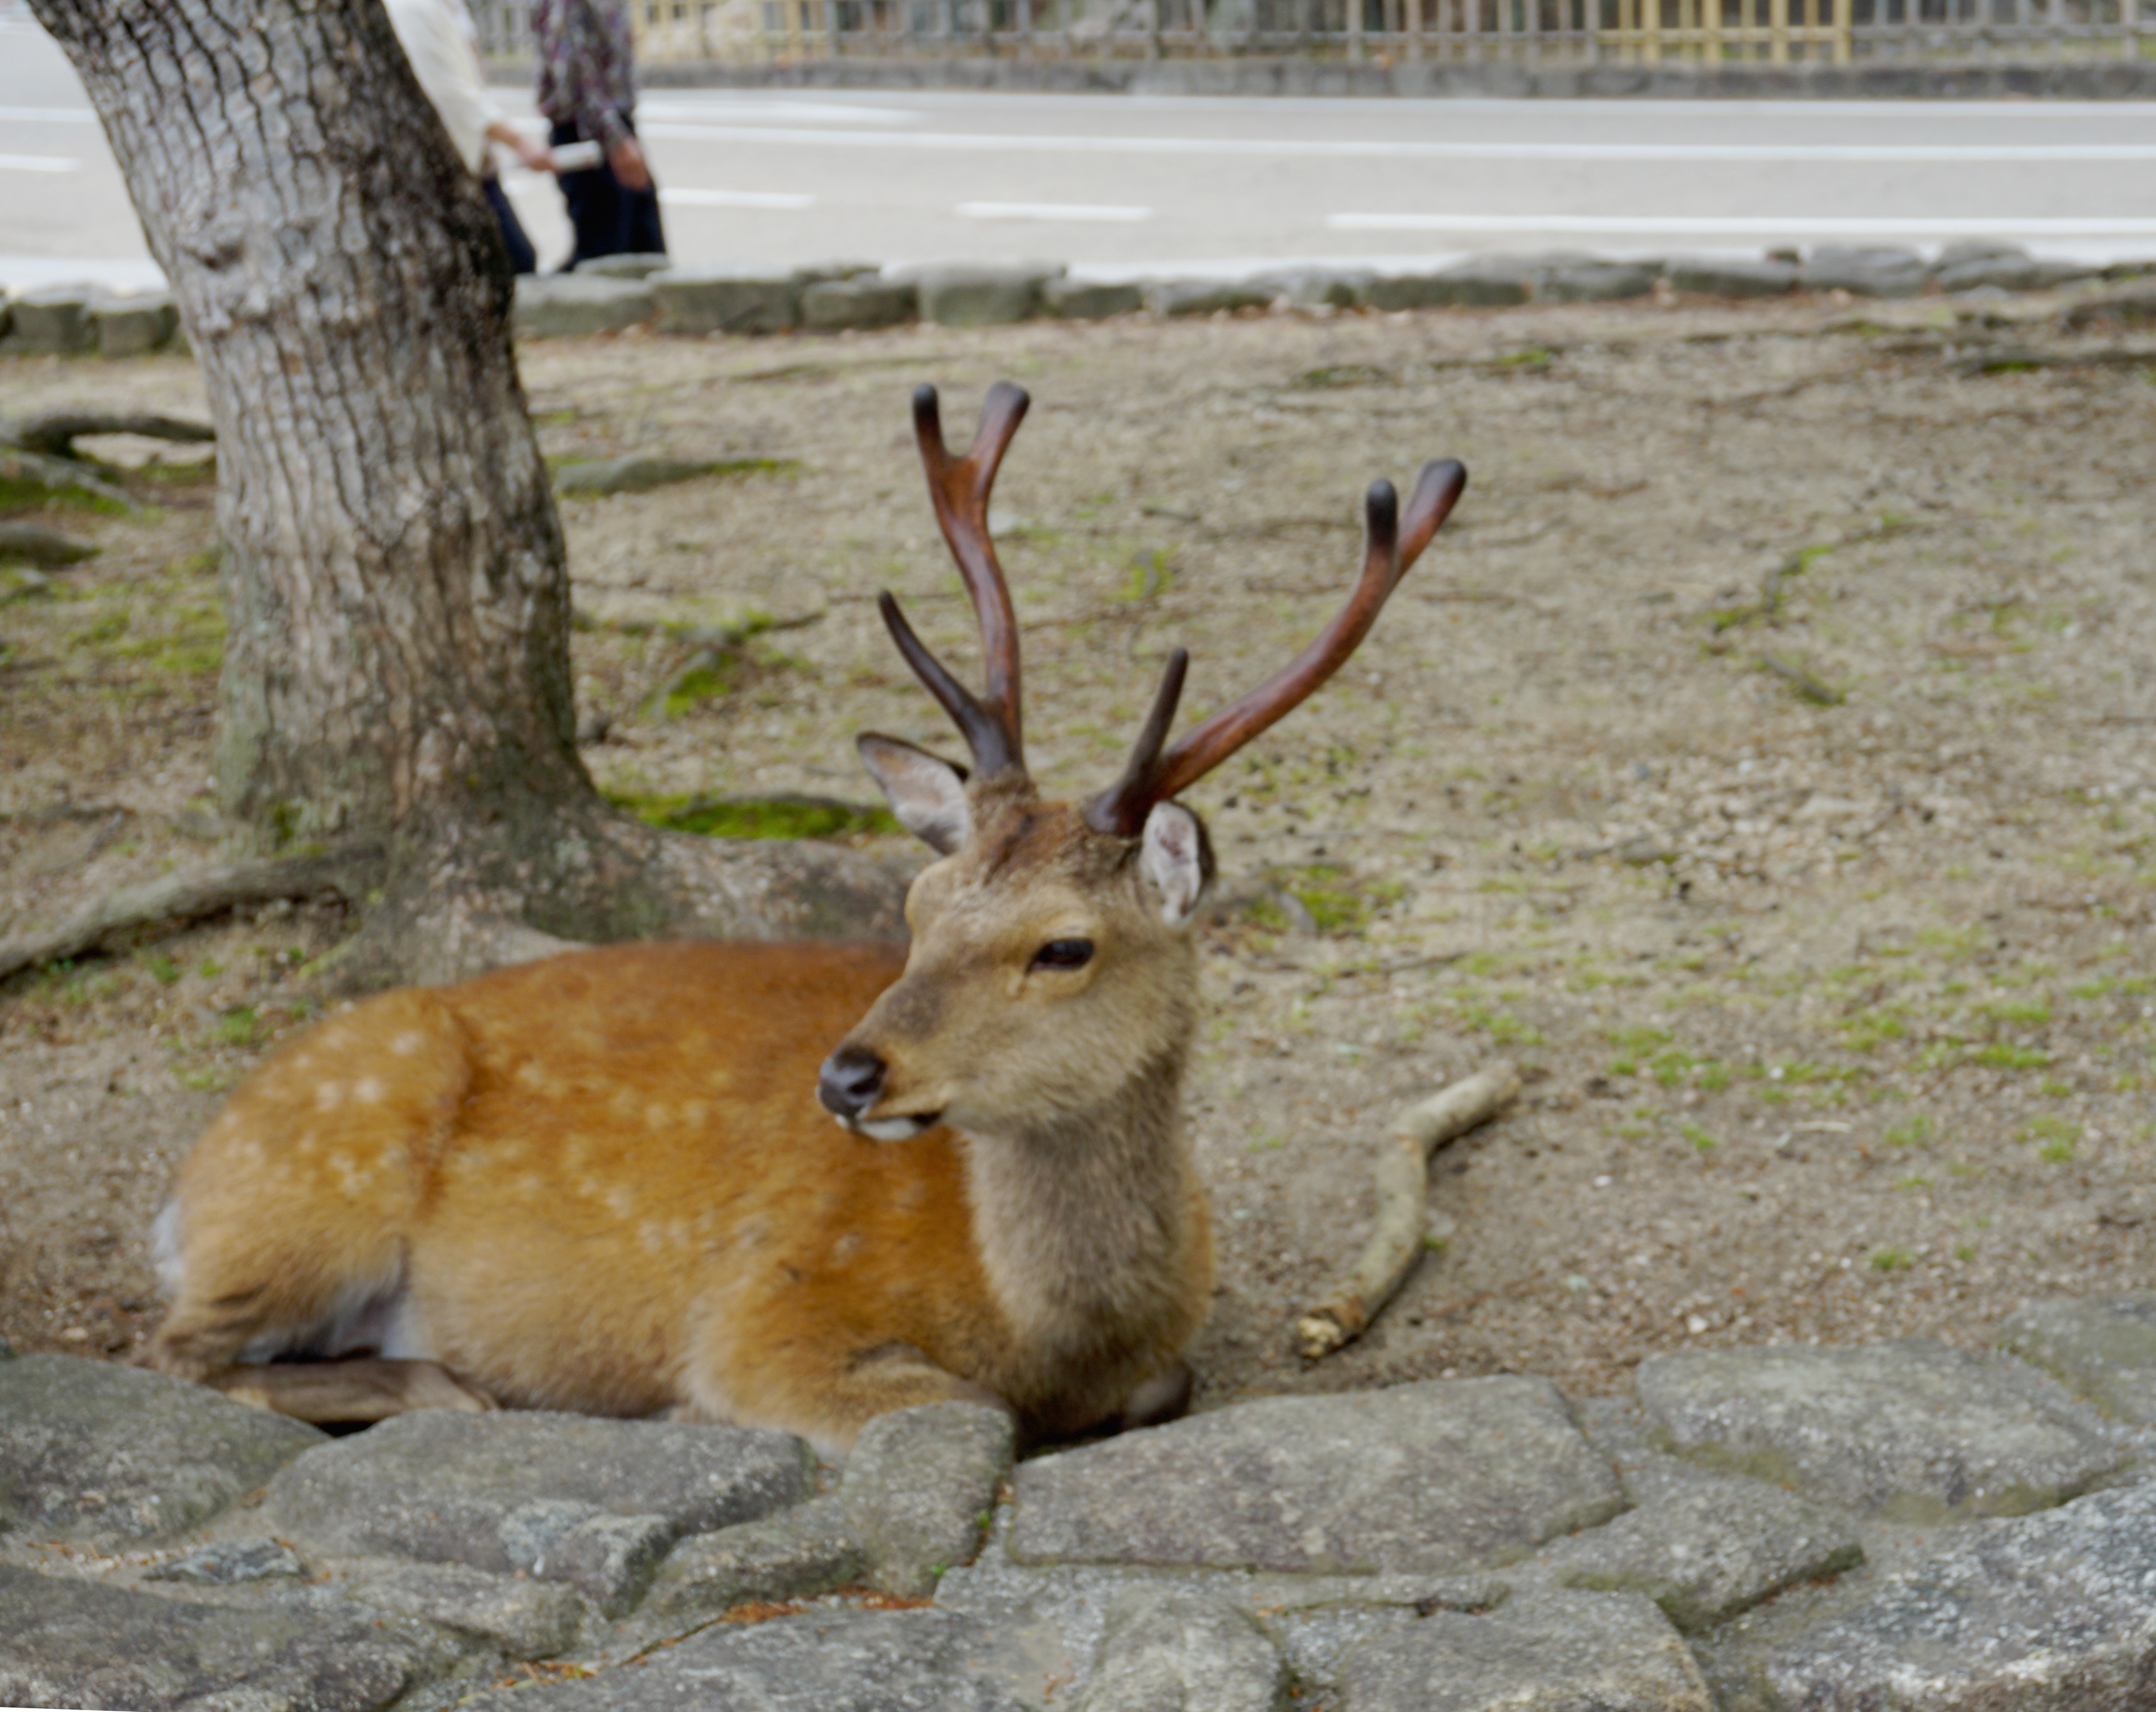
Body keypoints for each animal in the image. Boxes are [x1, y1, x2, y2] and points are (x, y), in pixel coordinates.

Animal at [144, 383, 1466, 1457]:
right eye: (916, 903)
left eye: (1065, 946)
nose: (846, 1078)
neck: (1059, 1330)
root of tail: (187, 1183)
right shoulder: (763, 1307)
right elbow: (962, 1407)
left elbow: (1159, 1389)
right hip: (318, 1178)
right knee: (180, 1354)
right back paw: (456, 1388)